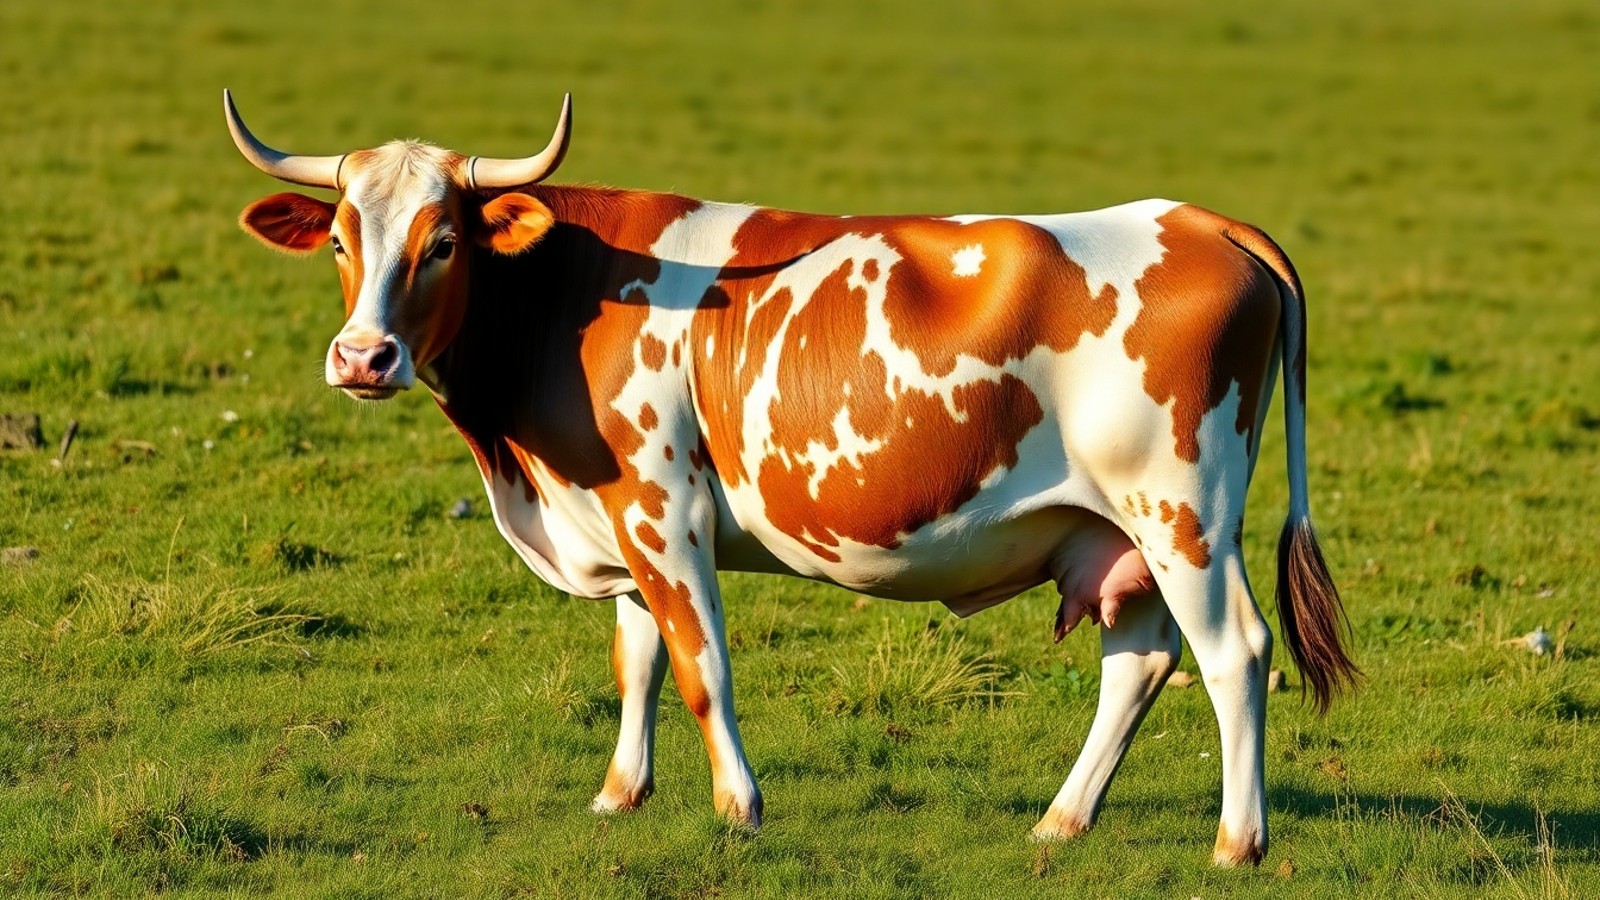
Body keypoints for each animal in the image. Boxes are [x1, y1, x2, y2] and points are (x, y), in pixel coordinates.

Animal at [224, 89, 1357, 866]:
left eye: (444, 242)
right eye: (339, 239)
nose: (362, 357)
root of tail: (1204, 220)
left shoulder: (666, 510)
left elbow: (699, 666)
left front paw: (739, 808)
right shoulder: (618, 516)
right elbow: (636, 659)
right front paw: (619, 794)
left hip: (1182, 516)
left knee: (1235, 654)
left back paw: (1236, 842)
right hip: (1114, 535)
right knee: (1140, 661)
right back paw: (1061, 820)